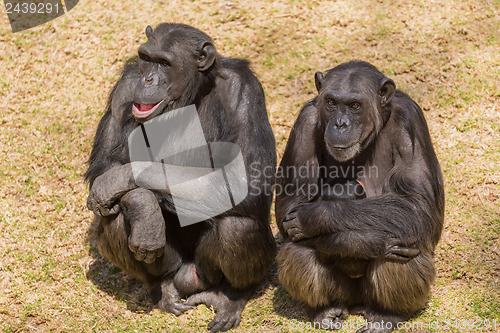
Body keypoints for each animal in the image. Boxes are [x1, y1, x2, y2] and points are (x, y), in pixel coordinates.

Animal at [84, 22, 276, 330]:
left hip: (204, 272)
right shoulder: (125, 88)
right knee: (113, 218)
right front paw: (144, 209)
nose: (148, 79)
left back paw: (230, 297)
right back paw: (160, 287)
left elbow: (248, 178)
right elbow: (106, 164)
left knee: (238, 225)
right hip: (173, 265)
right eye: (146, 58)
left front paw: (120, 181)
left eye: (165, 63)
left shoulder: (245, 92)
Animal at [278, 61, 446, 330]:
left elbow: (418, 207)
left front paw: (317, 215)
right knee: (298, 249)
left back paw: (387, 316)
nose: (340, 124)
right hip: (344, 293)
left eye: (355, 105)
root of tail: (357, 303)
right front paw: (371, 241)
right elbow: (289, 206)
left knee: (402, 249)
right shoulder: (304, 123)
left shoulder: (411, 120)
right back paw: (325, 312)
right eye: (331, 102)